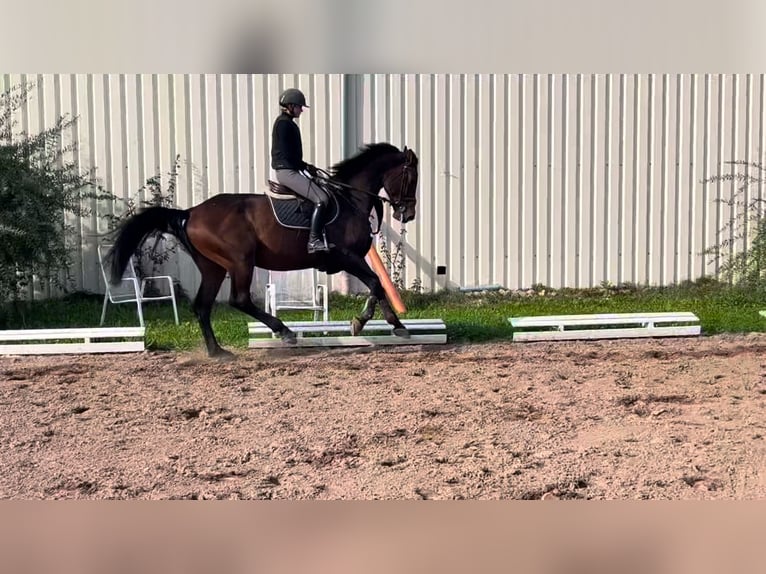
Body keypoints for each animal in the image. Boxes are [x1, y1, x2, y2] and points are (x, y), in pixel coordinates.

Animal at [108, 142, 420, 358]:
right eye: (411, 177)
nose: (408, 214)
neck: (350, 200)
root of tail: (190, 212)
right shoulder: (347, 257)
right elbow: (376, 283)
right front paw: (372, 323)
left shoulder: (352, 260)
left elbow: (377, 286)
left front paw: (389, 325)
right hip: (240, 261)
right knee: (240, 300)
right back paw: (284, 331)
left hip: (213, 267)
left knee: (202, 305)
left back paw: (217, 352)